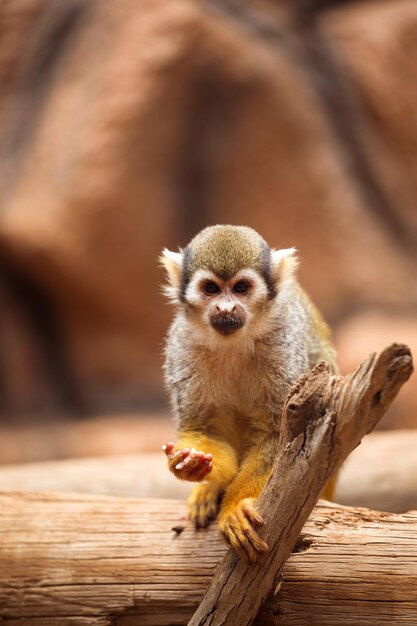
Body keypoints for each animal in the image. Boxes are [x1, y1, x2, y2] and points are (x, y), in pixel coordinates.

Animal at [160, 224, 338, 560]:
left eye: (241, 288)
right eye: (211, 289)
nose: (226, 307)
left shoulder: (283, 342)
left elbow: (279, 436)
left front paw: (233, 510)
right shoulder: (183, 345)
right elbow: (202, 427)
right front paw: (190, 465)